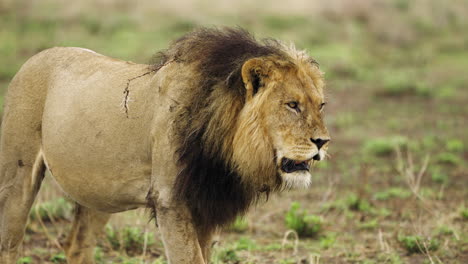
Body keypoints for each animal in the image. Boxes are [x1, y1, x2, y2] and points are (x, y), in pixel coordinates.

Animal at [0, 27, 330, 262]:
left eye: (321, 105)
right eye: (292, 105)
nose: (323, 141)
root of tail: (36, 56)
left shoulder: (205, 206)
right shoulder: (171, 202)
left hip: (99, 190)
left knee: (77, 247)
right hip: (18, 176)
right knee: (9, 244)